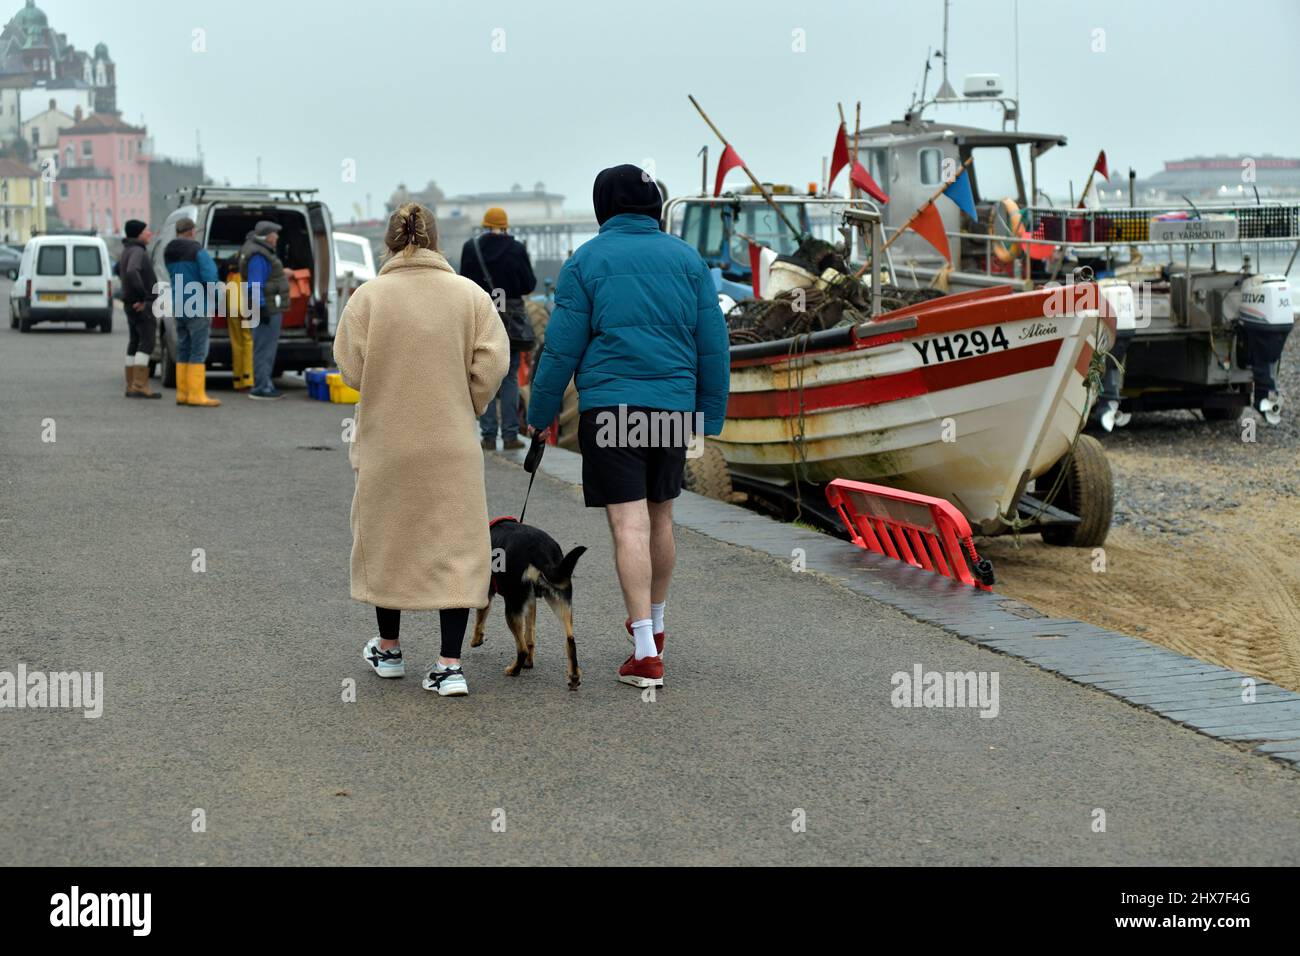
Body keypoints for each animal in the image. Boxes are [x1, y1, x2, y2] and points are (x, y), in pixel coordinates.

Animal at [470, 520, 587, 691]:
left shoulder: (486, 593)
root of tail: (539, 549)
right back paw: (573, 676)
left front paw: (476, 640)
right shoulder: (531, 602)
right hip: (561, 600)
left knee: (522, 649)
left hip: (512, 606)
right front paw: (529, 663)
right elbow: (530, 636)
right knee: (569, 639)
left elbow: (479, 619)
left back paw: (513, 670)